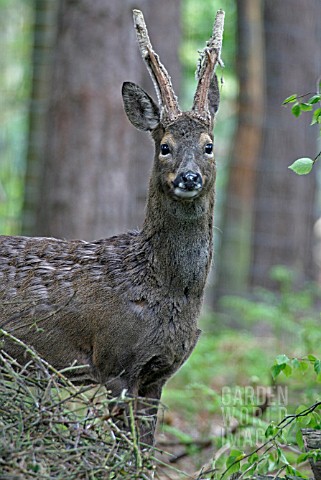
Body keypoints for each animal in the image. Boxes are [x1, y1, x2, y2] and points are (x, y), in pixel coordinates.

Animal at [0, 8, 224, 446]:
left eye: (209, 145)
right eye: (165, 146)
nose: (188, 177)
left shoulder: (160, 373)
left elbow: (146, 448)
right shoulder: (115, 360)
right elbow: (124, 450)